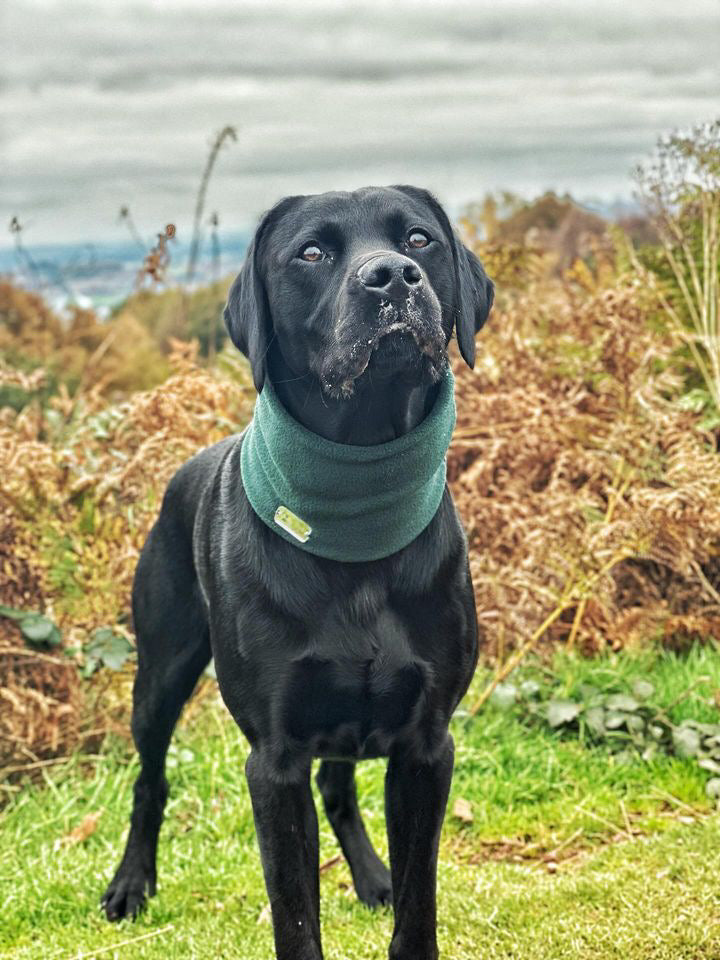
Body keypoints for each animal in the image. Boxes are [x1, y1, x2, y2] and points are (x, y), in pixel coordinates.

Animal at [102, 188, 496, 960]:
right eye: (311, 252)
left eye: (419, 239)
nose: (392, 277)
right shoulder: (275, 759)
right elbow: (294, 914)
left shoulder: (427, 744)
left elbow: (418, 902)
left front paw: (391, 890)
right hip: (159, 676)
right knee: (149, 782)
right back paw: (131, 884)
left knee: (339, 791)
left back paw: (370, 876)